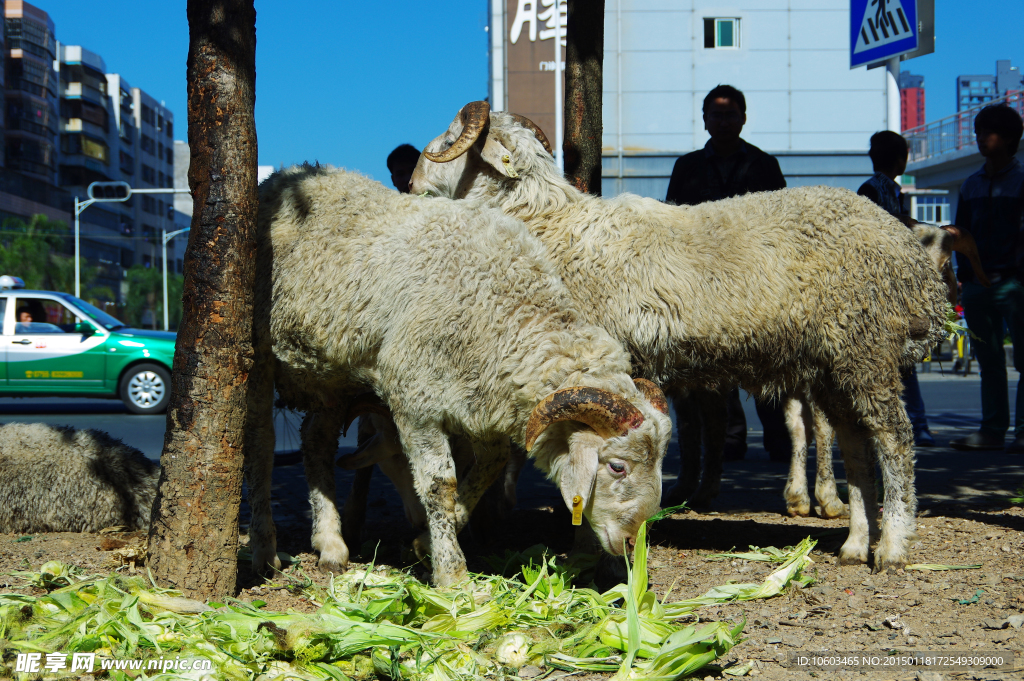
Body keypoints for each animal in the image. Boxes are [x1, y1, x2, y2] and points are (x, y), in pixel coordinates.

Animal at [244, 164, 675, 585]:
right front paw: (453, 574)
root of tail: (284, 176)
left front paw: (429, 539)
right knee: (262, 447)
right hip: (260, 354)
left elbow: (491, 462)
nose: (631, 541)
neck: (501, 306)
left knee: (316, 442)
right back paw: (265, 550)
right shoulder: (414, 399)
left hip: (332, 375)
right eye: (617, 466)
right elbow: (440, 485)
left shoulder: (478, 398)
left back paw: (331, 544)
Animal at [409, 100, 950, 569]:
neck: (549, 225)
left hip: (866, 346)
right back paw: (856, 544)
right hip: (834, 361)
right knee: (856, 443)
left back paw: (892, 546)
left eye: (451, 139)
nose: (412, 182)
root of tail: (914, 263)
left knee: (894, 440)